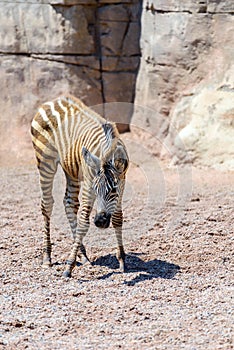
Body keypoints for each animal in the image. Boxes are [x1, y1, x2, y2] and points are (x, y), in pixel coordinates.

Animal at [30, 94, 129, 278]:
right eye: (96, 190)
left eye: (113, 190)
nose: (100, 221)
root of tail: (54, 100)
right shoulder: (89, 183)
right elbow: (83, 222)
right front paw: (69, 266)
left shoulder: (122, 184)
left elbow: (118, 218)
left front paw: (122, 261)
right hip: (45, 162)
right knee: (47, 204)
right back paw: (47, 258)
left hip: (71, 169)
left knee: (69, 203)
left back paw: (83, 255)